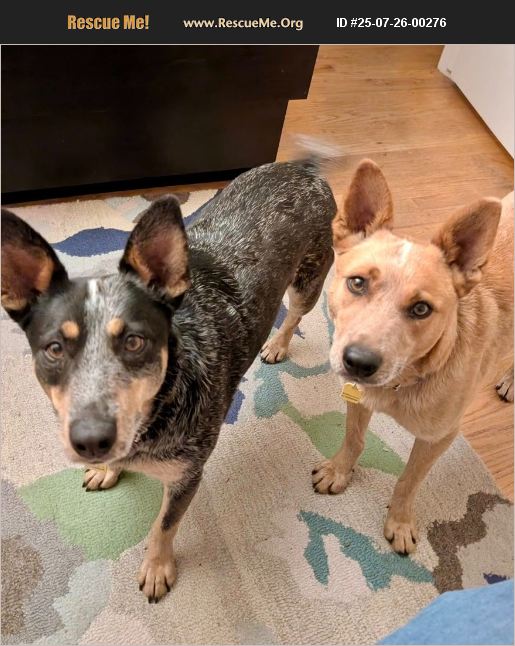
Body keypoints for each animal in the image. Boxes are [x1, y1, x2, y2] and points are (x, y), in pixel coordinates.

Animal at [1, 158, 336, 602]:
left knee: (296, 314)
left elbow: (164, 526)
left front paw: (157, 568)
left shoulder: (186, 476)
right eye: (54, 348)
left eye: (134, 342)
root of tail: (301, 166)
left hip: (309, 279)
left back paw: (279, 344)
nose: (92, 442)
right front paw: (107, 469)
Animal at [312, 159, 513, 554]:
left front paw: (400, 521)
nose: (358, 362)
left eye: (421, 309)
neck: (404, 382)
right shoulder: (358, 399)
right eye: (357, 282)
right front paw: (339, 471)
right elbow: (353, 439)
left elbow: (409, 480)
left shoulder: (439, 437)